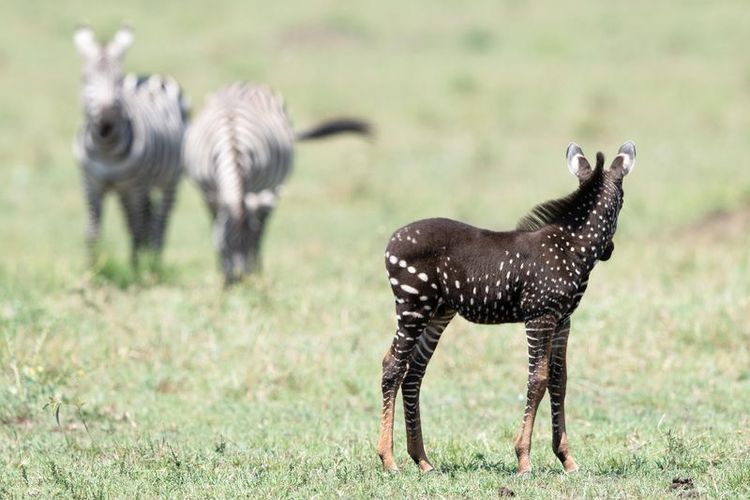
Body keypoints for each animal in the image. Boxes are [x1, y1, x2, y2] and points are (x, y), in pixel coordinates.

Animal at [73, 25, 189, 268]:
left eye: (118, 79)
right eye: (85, 78)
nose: (106, 119)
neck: (105, 149)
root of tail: (149, 76)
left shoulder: (135, 185)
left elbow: (136, 227)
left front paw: (135, 269)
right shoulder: (91, 182)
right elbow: (92, 231)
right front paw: (92, 269)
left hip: (169, 179)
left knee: (159, 221)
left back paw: (154, 260)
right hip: (126, 188)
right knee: (145, 218)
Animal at [185, 82, 374, 286]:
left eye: (248, 244)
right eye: (224, 245)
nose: (240, 279)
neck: (233, 143)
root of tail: (247, 84)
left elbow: (257, 232)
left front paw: (253, 270)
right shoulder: (209, 192)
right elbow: (215, 224)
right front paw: (222, 271)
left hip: (274, 186)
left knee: (263, 225)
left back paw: (259, 269)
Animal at [378, 140, 636, 472]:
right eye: (622, 203)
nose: (610, 251)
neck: (570, 248)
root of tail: (392, 240)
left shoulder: (563, 320)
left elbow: (559, 380)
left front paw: (566, 459)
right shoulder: (540, 316)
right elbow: (538, 380)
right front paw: (524, 459)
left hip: (437, 312)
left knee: (413, 373)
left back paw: (422, 460)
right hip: (412, 305)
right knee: (392, 367)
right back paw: (388, 460)